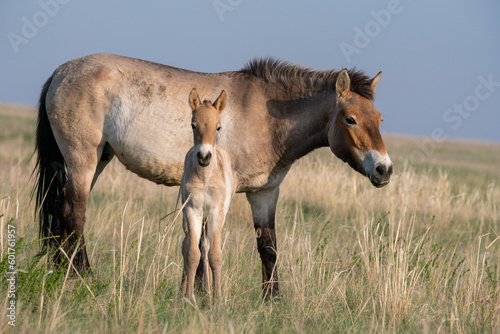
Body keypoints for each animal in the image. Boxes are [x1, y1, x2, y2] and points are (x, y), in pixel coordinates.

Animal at [33, 54, 392, 298]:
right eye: (350, 119)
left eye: (379, 118)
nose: (384, 169)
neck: (268, 116)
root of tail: (61, 72)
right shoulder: (217, 196)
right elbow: (205, 243)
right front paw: (203, 294)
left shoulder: (264, 193)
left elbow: (268, 246)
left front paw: (272, 299)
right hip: (83, 161)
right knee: (74, 215)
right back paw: (83, 278)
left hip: (94, 161)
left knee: (62, 214)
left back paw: (61, 272)